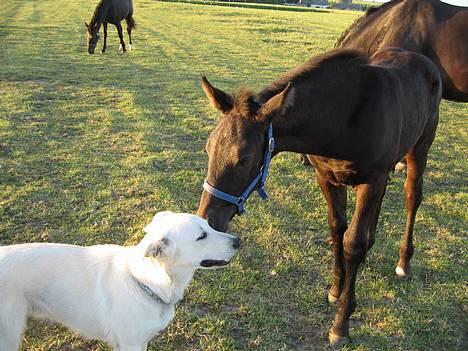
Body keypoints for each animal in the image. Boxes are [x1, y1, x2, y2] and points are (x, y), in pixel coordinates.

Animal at [0, 212, 239, 351]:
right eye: (201, 236)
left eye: (209, 225)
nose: (238, 241)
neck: (146, 283)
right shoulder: (130, 344)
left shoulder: (139, 342)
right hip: (8, 336)